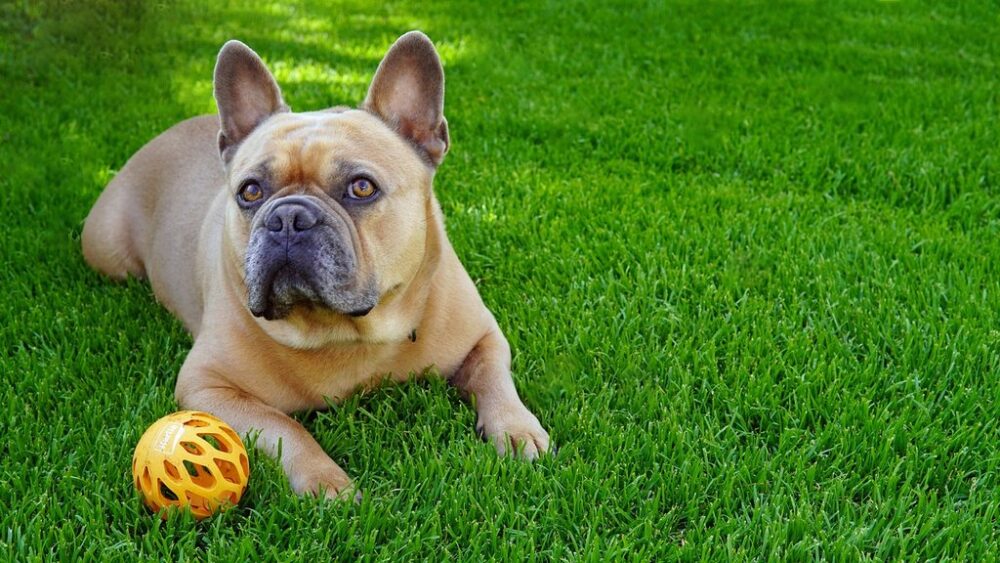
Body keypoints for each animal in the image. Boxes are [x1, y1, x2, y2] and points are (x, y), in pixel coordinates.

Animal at [82, 32, 552, 498]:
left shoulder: (484, 337)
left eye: (362, 187)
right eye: (250, 192)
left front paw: (516, 430)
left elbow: (495, 378)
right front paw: (328, 483)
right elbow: (284, 427)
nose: (288, 218)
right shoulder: (208, 386)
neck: (344, 332)